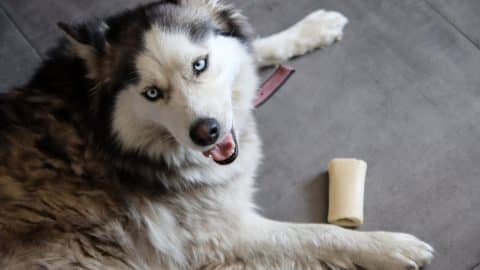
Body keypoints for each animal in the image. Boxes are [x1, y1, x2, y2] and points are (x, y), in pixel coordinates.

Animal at [0, 1, 434, 268]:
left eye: (200, 64)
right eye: (152, 93)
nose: (205, 132)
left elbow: (253, 47)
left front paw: (312, 29)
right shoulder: (219, 237)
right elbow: (319, 234)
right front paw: (389, 246)